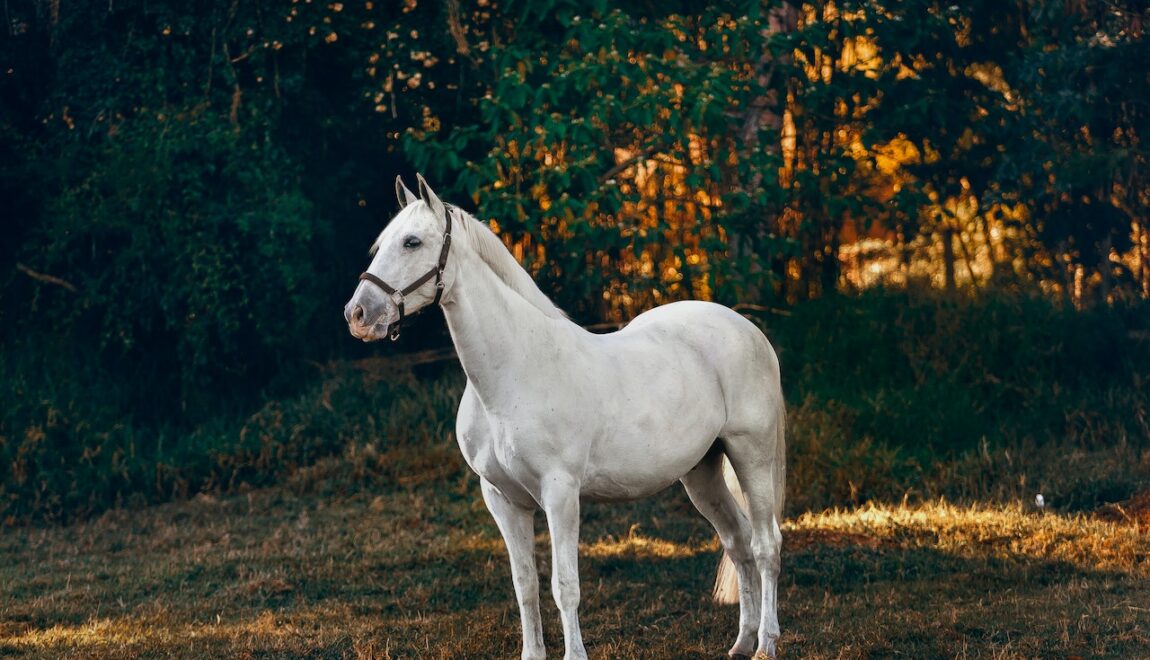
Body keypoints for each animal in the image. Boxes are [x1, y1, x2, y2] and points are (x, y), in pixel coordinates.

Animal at [345, 175, 786, 660]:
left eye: (412, 242)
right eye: (380, 244)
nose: (358, 315)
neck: (514, 370)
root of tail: (748, 329)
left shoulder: (560, 493)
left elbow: (565, 586)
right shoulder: (502, 499)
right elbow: (524, 585)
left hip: (751, 455)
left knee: (766, 544)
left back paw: (766, 643)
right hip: (701, 472)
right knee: (738, 542)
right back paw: (741, 642)